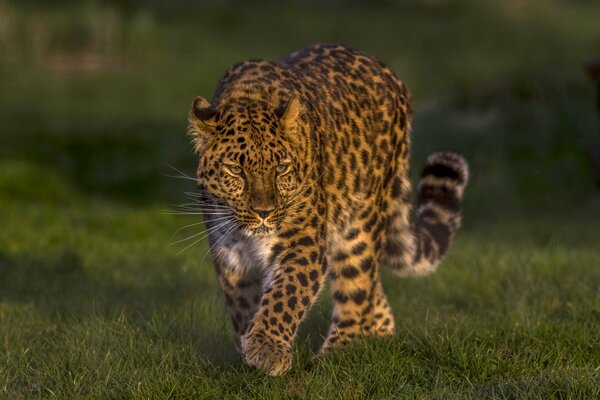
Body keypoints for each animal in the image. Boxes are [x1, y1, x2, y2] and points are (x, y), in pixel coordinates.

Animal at [188, 43, 468, 376]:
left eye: (281, 168)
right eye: (235, 170)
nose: (264, 212)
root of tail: (392, 76)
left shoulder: (304, 243)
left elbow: (285, 294)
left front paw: (267, 348)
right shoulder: (230, 254)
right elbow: (242, 305)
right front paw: (248, 346)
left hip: (358, 228)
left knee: (358, 291)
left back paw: (336, 356)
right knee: (377, 301)